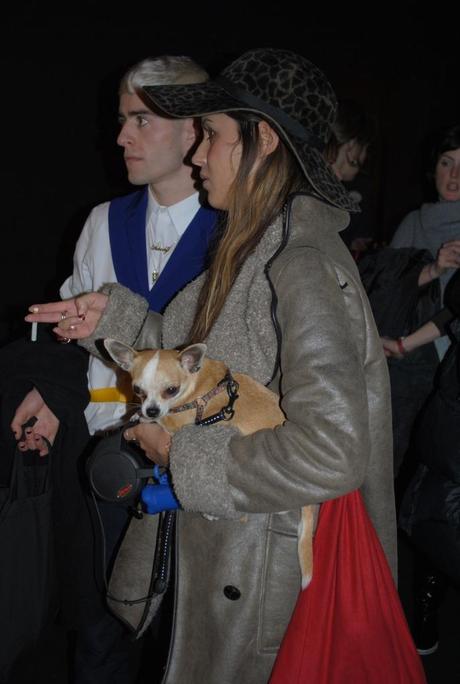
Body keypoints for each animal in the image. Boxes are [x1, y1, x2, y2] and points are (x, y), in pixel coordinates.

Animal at [103, 336, 314, 588]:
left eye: (171, 390)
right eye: (137, 390)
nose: (151, 410)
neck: (194, 381)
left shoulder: (176, 422)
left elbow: (164, 421)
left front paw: (139, 419)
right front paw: (135, 415)